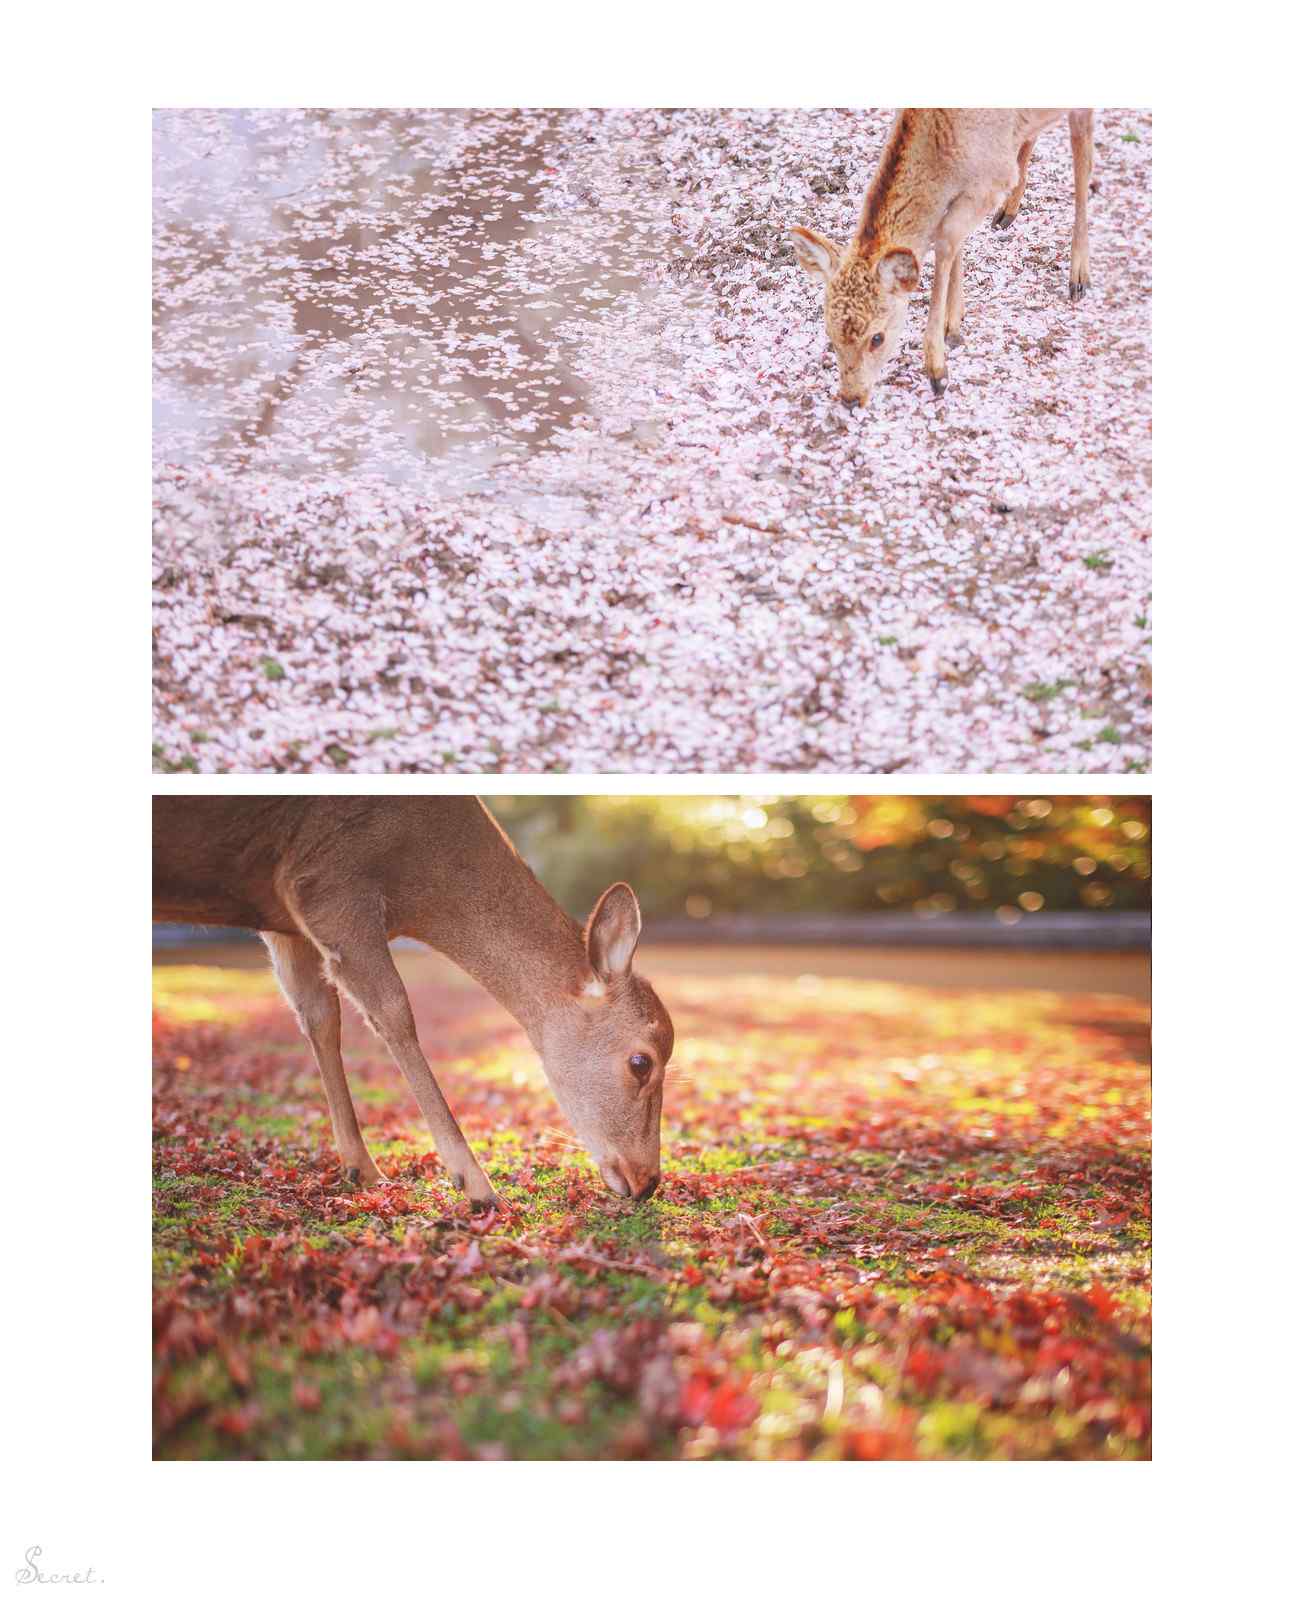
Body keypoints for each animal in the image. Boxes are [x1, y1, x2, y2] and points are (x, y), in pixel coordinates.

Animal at [150, 798, 673, 1207]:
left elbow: (319, 1015)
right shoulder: (327, 883)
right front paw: (477, 1184)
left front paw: (360, 1168)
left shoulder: (284, 922)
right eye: (641, 1061)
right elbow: (393, 1011)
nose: (648, 1181)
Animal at [791, 106, 1092, 405]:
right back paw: (1008, 211)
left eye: (877, 338)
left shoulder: (992, 180)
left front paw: (937, 370)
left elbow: (945, 239)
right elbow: (950, 238)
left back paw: (1079, 277)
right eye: (830, 333)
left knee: (1083, 156)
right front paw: (954, 323)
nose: (850, 398)